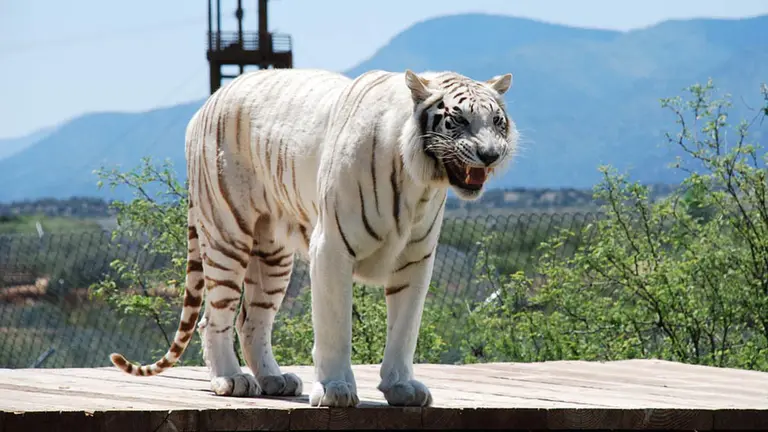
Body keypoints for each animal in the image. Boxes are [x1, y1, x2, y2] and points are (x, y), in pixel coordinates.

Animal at [108, 67, 518, 408]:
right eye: (458, 120)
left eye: (497, 121)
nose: (490, 154)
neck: (418, 181)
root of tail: (210, 100)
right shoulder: (332, 248)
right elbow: (335, 326)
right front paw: (335, 389)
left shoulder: (416, 260)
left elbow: (405, 327)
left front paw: (401, 386)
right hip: (227, 233)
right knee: (215, 318)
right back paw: (230, 379)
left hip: (272, 256)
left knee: (251, 321)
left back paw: (274, 380)